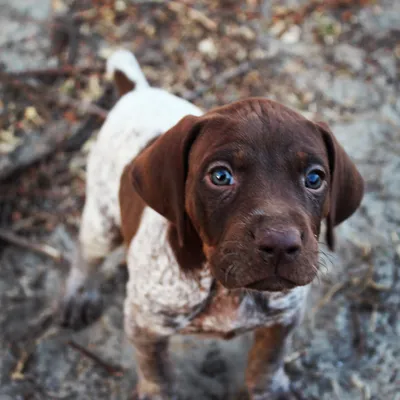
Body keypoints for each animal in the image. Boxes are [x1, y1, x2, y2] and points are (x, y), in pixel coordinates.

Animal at [61, 50, 364, 400]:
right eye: (220, 176)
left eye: (315, 179)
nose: (280, 243)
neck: (226, 290)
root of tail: (136, 91)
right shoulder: (145, 326)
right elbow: (156, 373)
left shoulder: (284, 318)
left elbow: (268, 360)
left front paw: (269, 389)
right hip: (102, 220)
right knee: (87, 255)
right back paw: (78, 295)